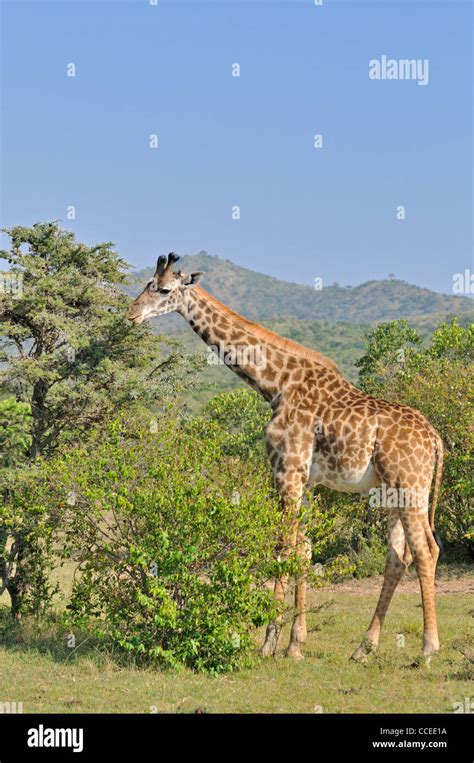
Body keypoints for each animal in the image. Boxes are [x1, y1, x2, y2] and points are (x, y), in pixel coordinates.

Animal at [126, 254, 444, 662]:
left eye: (164, 289)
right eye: (147, 283)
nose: (130, 314)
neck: (275, 385)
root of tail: (435, 439)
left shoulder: (285, 469)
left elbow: (282, 546)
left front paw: (269, 642)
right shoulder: (304, 478)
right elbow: (304, 549)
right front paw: (295, 643)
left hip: (410, 484)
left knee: (425, 550)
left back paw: (428, 647)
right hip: (389, 490)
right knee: (397, 557)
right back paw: (363, 647)